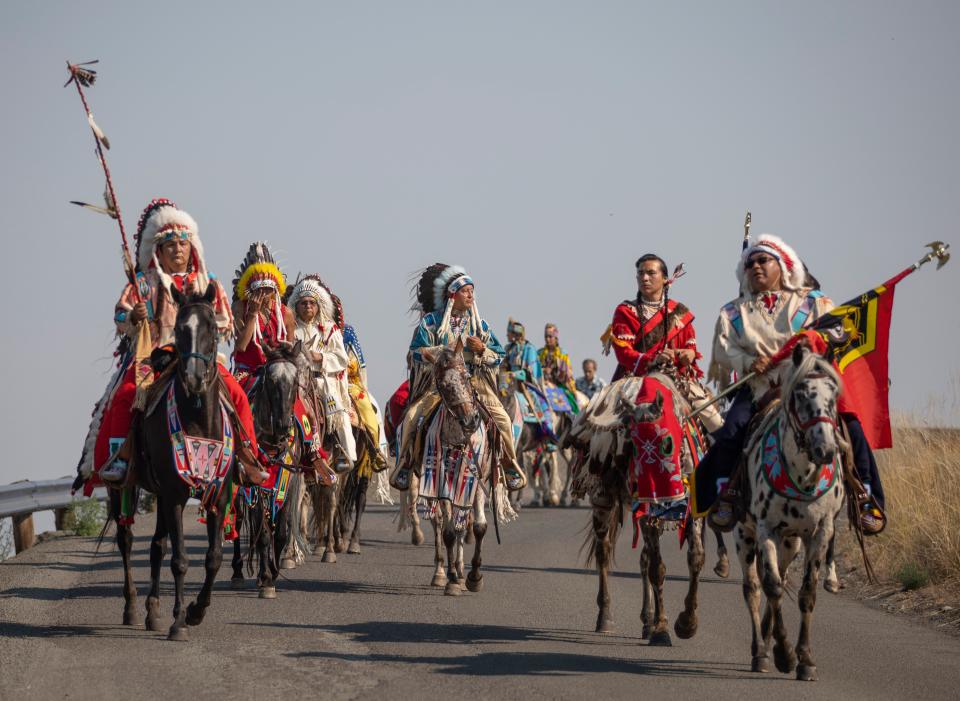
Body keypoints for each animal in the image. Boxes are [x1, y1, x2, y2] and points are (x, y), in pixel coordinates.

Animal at [112, 284, 240, 640]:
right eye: (181, 329)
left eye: (212, 328)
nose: (194, 379)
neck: (198, 420)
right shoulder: (175, 494)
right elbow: (181, 559)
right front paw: (180, 621)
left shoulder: (217, 494)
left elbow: (213, 557)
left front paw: (196, 610)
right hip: (123, 486)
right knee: (126, 540)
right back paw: (131, 607)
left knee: (157, 544)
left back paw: (153, 611)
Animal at [568, 372, 712, 644]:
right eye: (631, 442)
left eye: (667, 441)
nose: (653, 490)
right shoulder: (646, 515)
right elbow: (658, 568)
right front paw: (663, 628)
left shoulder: (692, 511)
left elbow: (696, 558)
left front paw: (687, 622)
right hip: (603, 502)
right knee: (604, 552)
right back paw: (606, 617)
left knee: (643, 559)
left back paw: (647, 619)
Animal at [732, 342, 844, 680]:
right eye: (801, 394)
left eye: (834, 395)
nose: (826, 450)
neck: (803, 477)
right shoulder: (766, 529)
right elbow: (771, 587)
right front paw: (783, 653)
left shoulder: (820, 532)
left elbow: (807, 592)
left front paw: (804, 658)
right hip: (745, 535)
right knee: (755, 589)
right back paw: (760, 650)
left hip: (791, 541)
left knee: (779, 578)